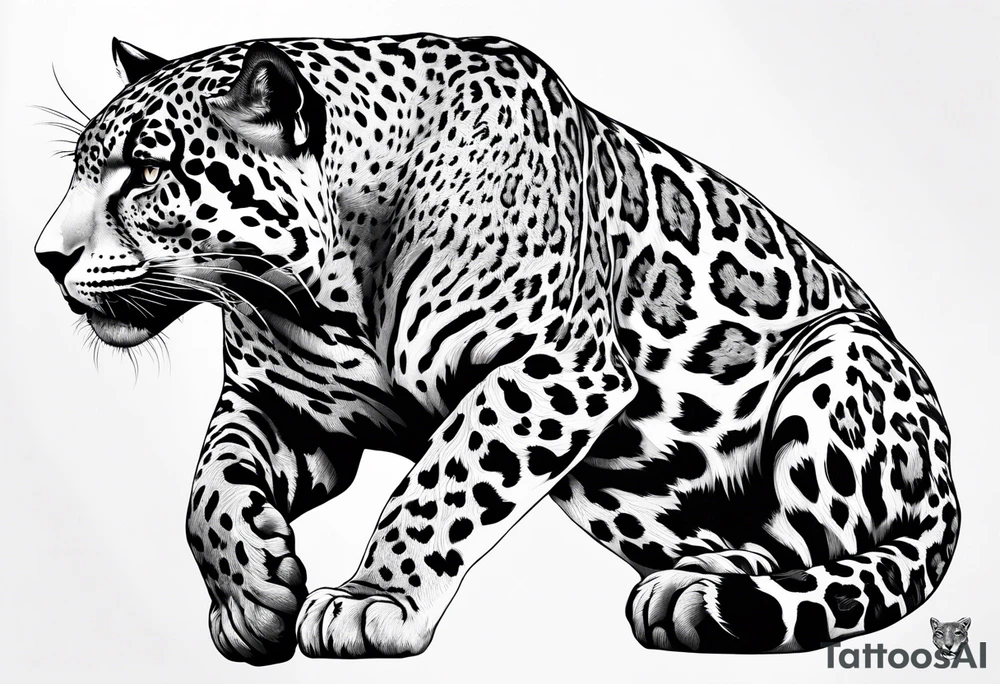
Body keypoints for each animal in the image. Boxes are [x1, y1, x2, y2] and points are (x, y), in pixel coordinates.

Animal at [35, 34, 960, 663]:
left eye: (146, 175)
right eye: (82, 169)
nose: (45, 257)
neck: (327, 288)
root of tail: (947, 485)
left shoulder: (552, 369)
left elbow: (438, 484)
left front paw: (371, 599)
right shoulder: (283, 409)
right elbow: (208, 488)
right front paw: (251, 592)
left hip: (839, 358)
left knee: (810, 544)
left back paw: (707, 587)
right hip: (614, 487)